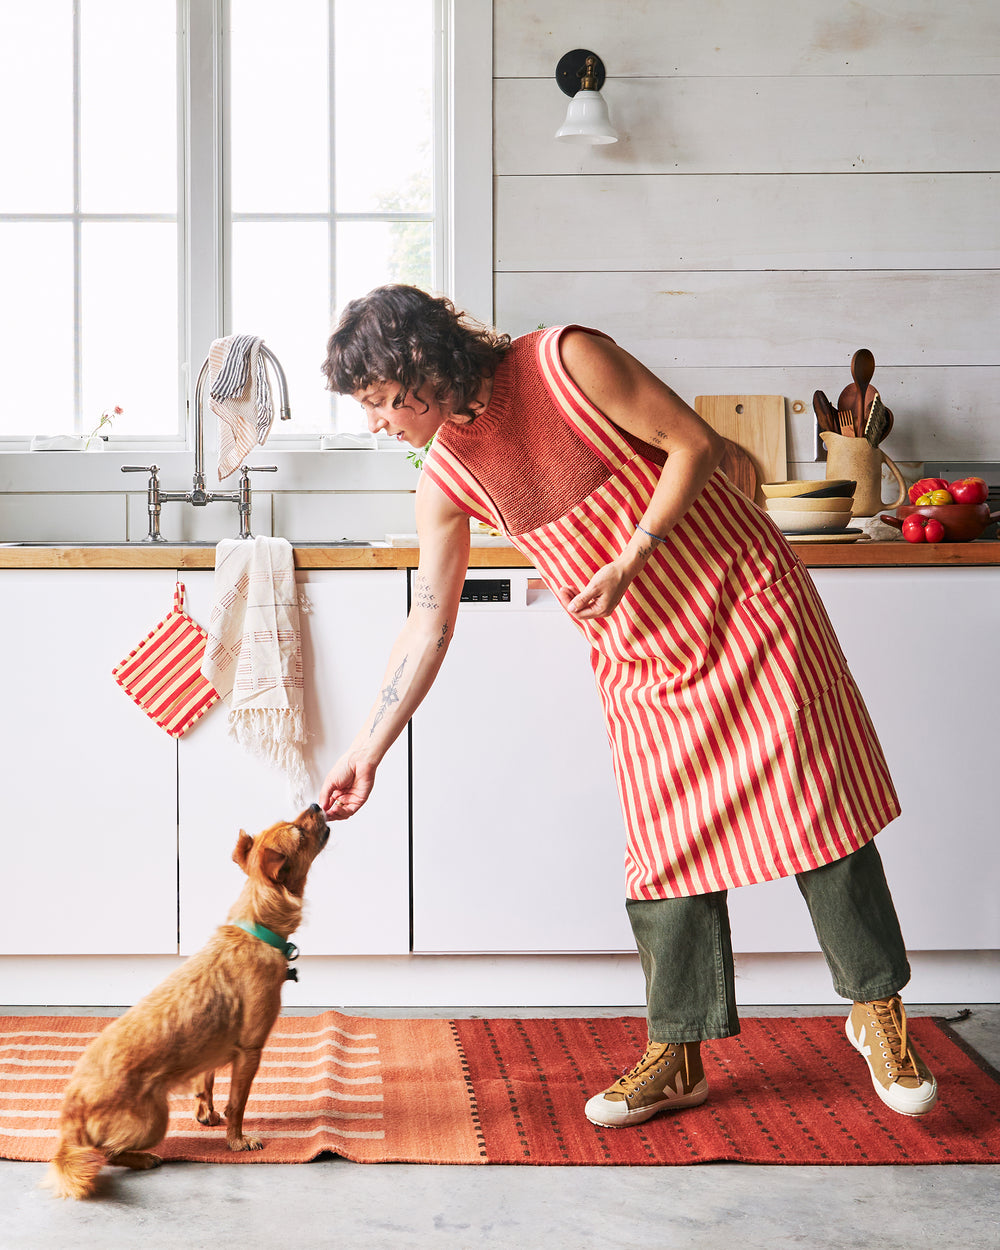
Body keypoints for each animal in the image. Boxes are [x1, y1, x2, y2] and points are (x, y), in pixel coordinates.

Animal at [45, 805, 327, 1195]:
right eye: (297, 831)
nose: (316, 805)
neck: (257, 929)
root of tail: (71, 1111)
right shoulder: (250, 1051)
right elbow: (237, 1104)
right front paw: (237, 1141)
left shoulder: (213, 1049)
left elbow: (205, 1084)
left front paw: (206, 1114)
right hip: (154, 1120)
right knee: (106, 1153)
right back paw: (143, 1159)